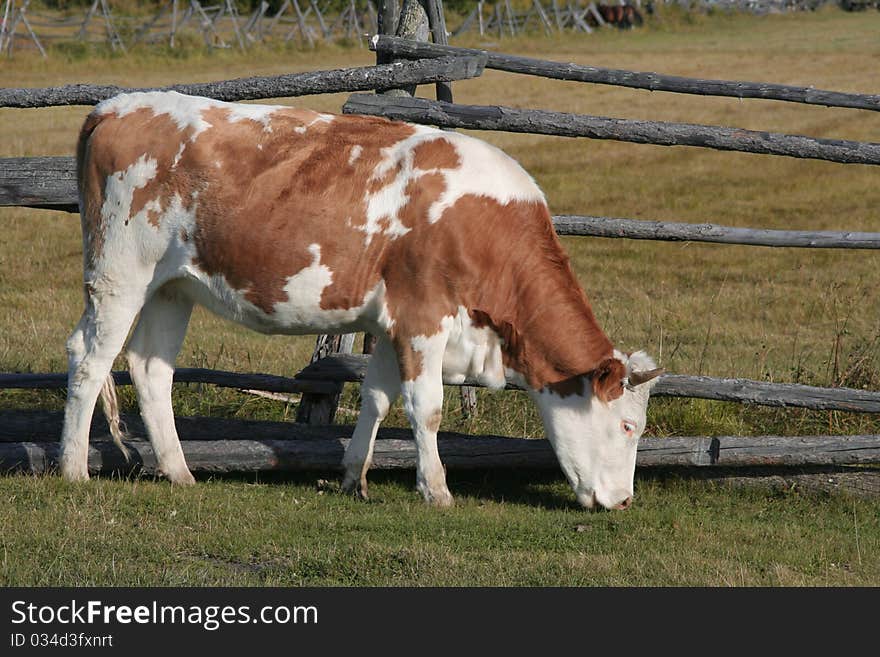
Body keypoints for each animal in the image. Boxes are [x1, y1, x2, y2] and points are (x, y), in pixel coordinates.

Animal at [60, 91, 660, 508]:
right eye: (629, 427)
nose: (624, 501)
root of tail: (117, 105)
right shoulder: (423, 317)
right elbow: (427, 408)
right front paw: (436, 490)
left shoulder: (393, 323)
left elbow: (376, 399)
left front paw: (354, 476)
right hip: (120, 272)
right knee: (89, 359)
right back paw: (73, 468)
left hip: (172, 286)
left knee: (150, 368)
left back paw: (179, 472)